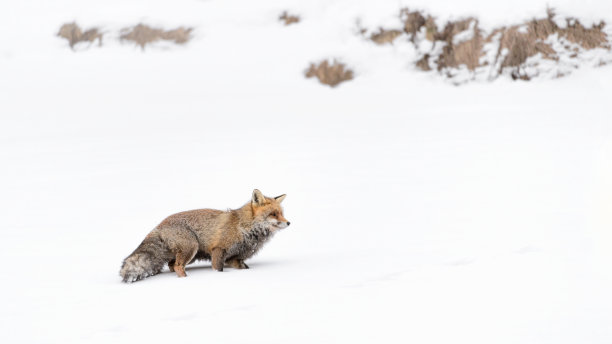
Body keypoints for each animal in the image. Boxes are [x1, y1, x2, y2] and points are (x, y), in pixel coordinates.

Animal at [122, 189, 292, 284]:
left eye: (282, 213)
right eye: (273, 214)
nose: (289, 222)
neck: (245, 228)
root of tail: (158, 225)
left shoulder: (235, 258)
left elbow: (244, 268)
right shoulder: (219, 250)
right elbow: (218, 269)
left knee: (171, 265)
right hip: (191, 248)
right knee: (177, 266)